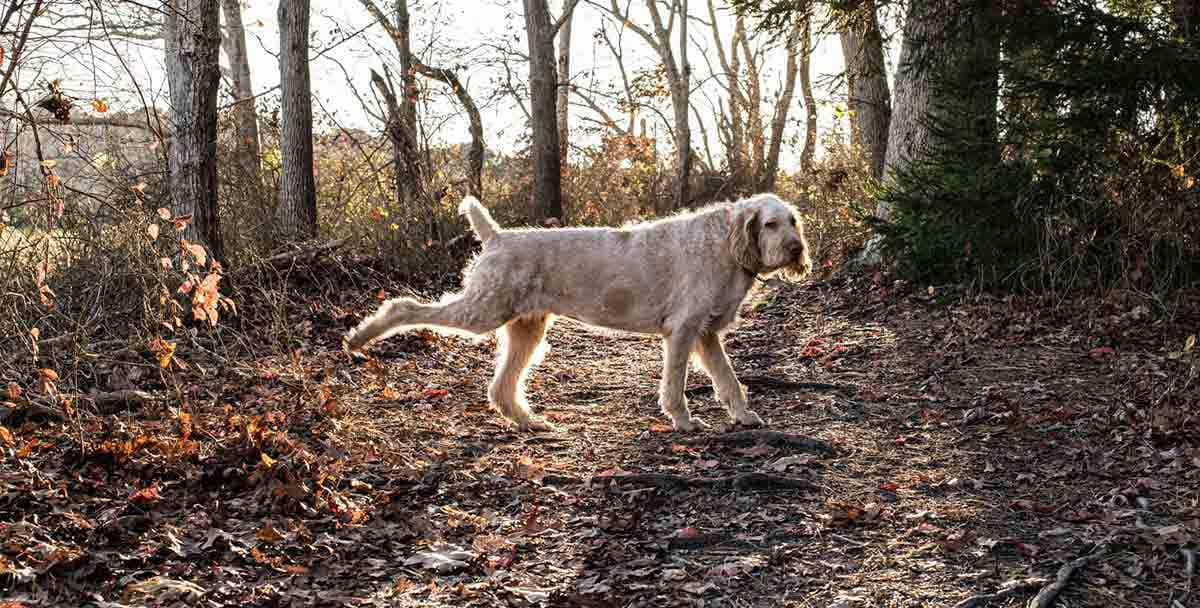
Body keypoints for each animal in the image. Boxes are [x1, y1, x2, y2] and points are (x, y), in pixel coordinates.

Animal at [350, 195, 816, 434]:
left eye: (794, 221)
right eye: (771, 224)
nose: (797, 250)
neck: (725, 245)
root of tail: (496, 236)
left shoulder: (706, 335)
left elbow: (730, 381)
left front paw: (744, 417)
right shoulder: (684, 332)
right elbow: (677, 385)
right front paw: (683, 421)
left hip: (526, 330)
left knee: (501, 388)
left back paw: (530, 422)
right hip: (482, 312)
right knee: (404, 306)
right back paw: (359, 337)